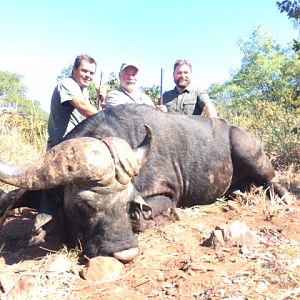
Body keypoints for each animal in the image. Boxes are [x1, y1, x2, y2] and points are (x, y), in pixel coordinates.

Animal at [0, 104, 290, 262]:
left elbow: (143, 217)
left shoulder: (164, 195)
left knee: (274, 182)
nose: (124, 252)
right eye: (83, 206)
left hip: (250, 154)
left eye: (127, 204)